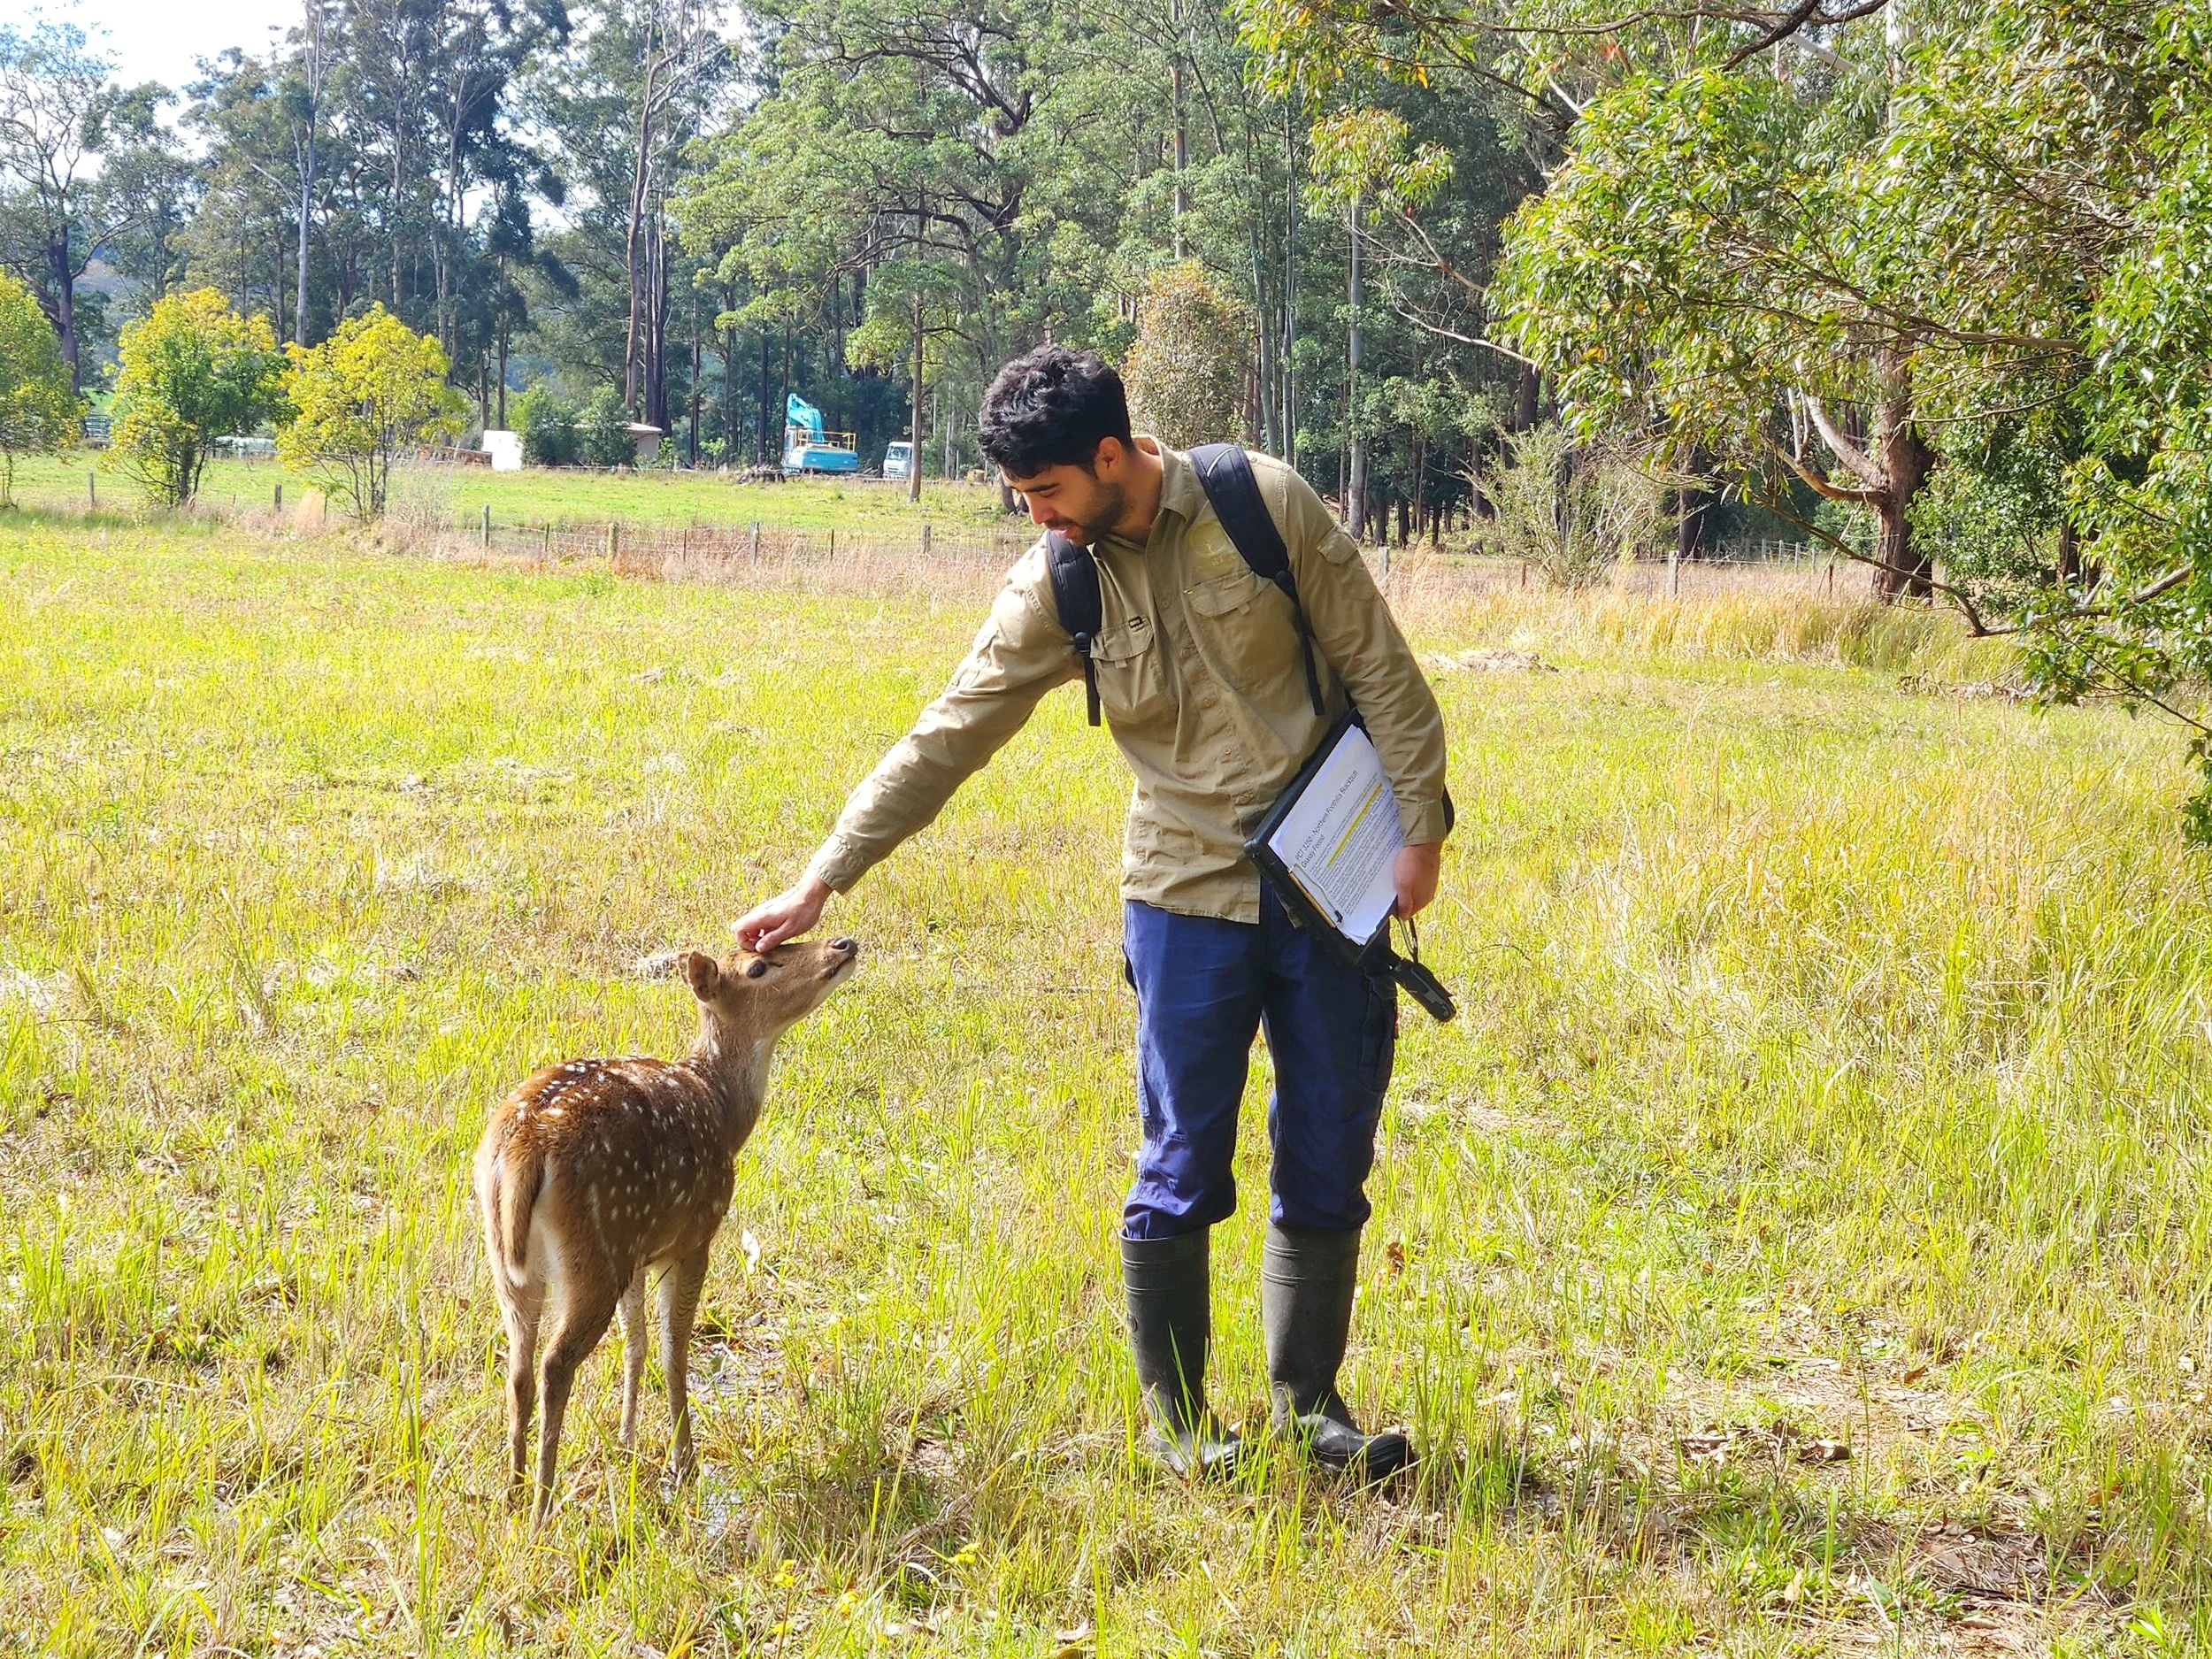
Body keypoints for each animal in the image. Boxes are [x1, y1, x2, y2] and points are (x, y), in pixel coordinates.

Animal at [473, 937, 859, 1525]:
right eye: (758, 966)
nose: (843, 942)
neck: (723, 1111)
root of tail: (522, 1150)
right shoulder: (694, 1234)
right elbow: (674, 1349)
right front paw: (684, 1463)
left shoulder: (640, 1248)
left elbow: (634, 1342)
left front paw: (627, 1441)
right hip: (596, 1248)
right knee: (554, 1364)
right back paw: (542, 1506)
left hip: (516, 1262)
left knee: (518, 1368)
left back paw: (514, 1494)